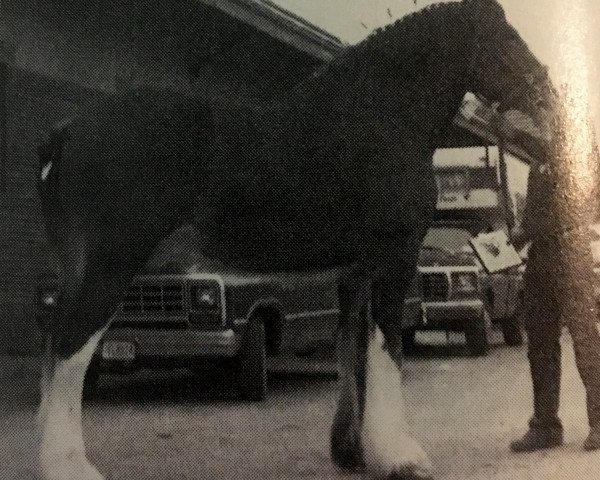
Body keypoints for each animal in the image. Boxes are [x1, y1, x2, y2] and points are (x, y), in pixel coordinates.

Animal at [36, 1, 552, 478]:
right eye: (504, 37)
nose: (545, 94)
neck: (378, 116)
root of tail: (72, 127)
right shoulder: (394, 258)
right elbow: (387, 350)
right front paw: (399, 457)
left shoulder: (354, 274)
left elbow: (351, 354)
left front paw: (352, 452)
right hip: (111, 267)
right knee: (70, 352)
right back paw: (67, 466)